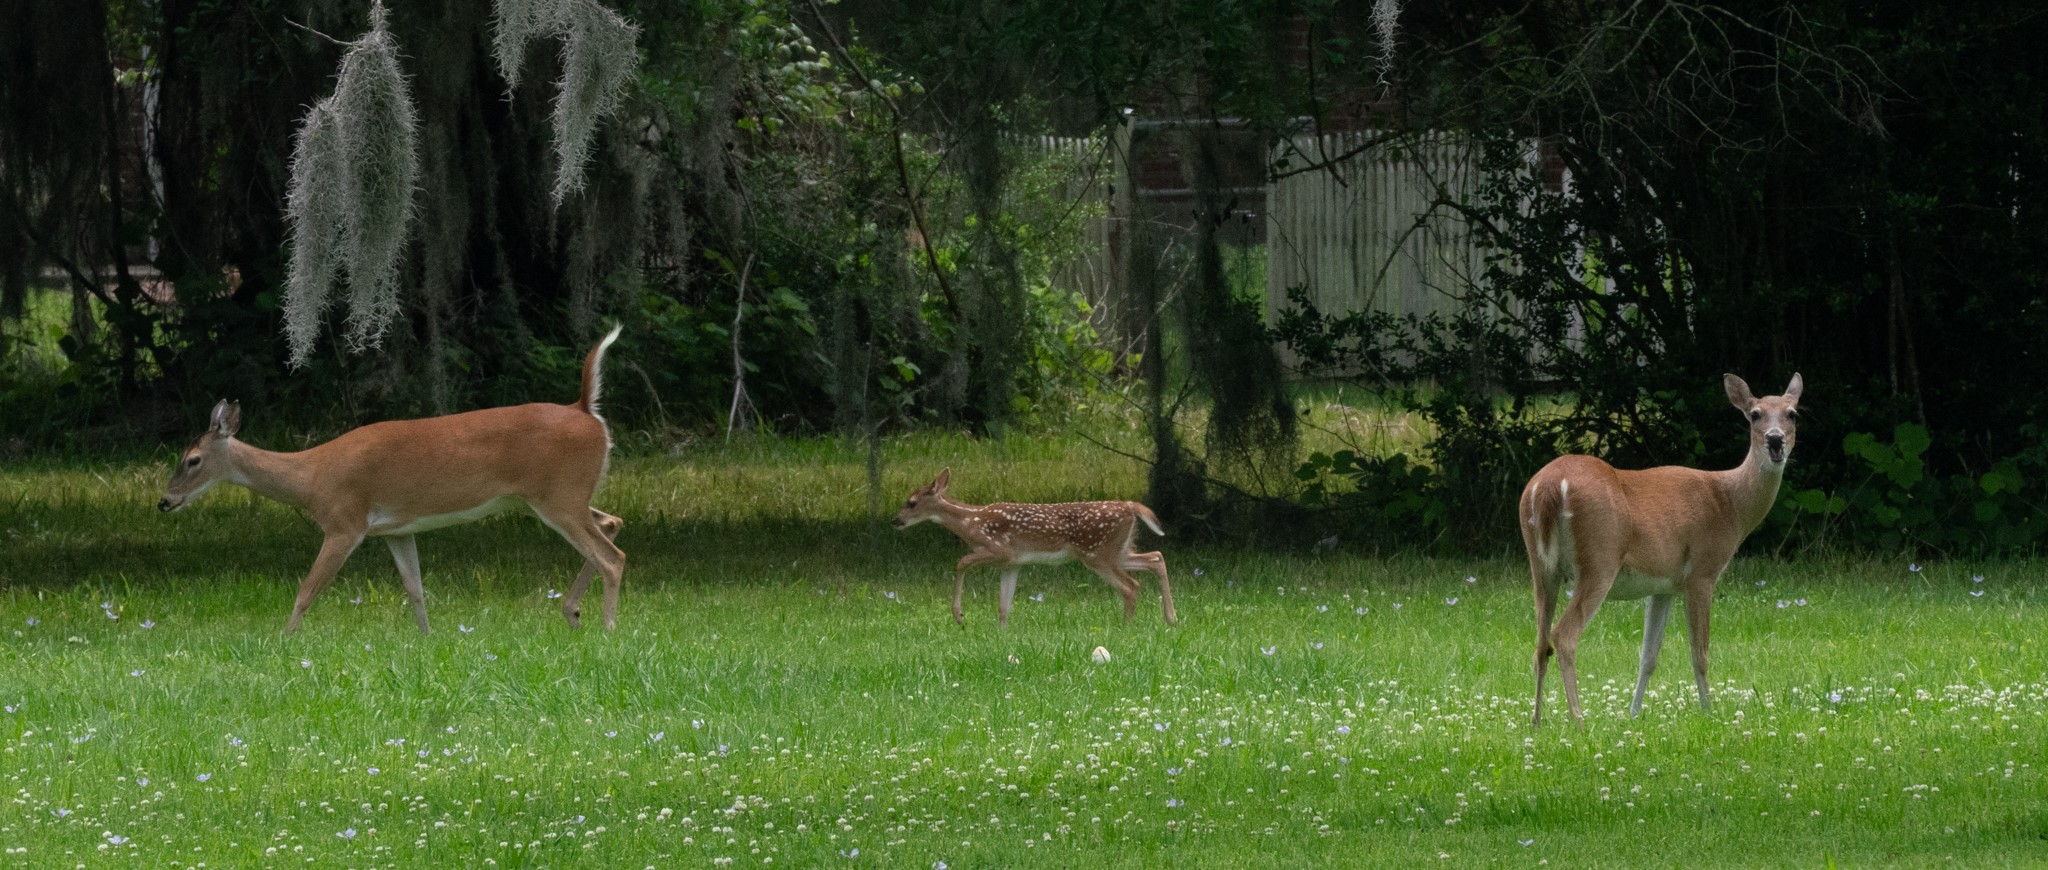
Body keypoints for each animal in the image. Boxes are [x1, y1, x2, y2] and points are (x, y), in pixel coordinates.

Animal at [157, 326, 628, 635]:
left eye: (191, 460)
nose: (164, 501)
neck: (310, 478)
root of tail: (586, 411)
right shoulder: (396, 529)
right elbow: (414, 589)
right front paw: (427, 639)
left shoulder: (344, 521)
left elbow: (307, 589)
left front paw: (284, 641)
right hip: (558, 495)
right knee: (612, 522)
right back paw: (572, 613)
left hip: (558, 495)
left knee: (612, 556)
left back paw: (607, 629)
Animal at [893, 468, 1177, 627]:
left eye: (911, 502)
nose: (895, 520)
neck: (971, 523)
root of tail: (1130, 506)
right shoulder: (1012, 563)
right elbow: (1003, 605)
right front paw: (1002, 634)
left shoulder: (1000, 549)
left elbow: (961, 562)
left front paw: (960, 617)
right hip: (1117, 550)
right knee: (1156, 557)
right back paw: (1171, 619)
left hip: (1098, 553)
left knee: (1131, 586)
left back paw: (1126, 627)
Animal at [1519, 373, 1803, 725]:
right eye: (1755, 414)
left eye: (1793, 414)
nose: (1776, 441)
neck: (1731, 505)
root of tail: (1546, 487)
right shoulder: (1702, 572)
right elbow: (1700, 653)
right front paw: (1709, 712)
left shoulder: (1663, 585)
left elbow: (1648, 656)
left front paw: (1633, 714)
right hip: (1599, 559)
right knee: (1563, 636)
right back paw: (1579, 719)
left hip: (1541, 566)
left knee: (1540, 643)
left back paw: (1536, 720)